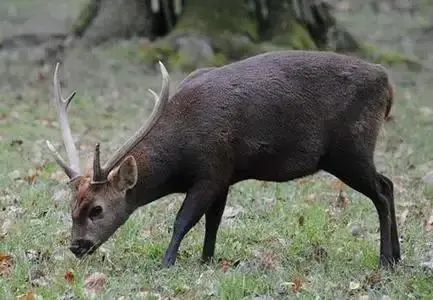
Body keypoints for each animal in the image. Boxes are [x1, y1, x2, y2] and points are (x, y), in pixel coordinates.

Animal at [45, 50, 400, 268]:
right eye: (71, 206)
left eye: (97, 209)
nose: (76, 246)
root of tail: (387, 82)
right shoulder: (226, 174)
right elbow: (213, 221)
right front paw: (206, 260)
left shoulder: (211, 168)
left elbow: (183, 219)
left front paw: (167, 262)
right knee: (389, 183)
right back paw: (397, 256)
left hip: (349, 149)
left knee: (382, 191)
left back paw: (385, 260)